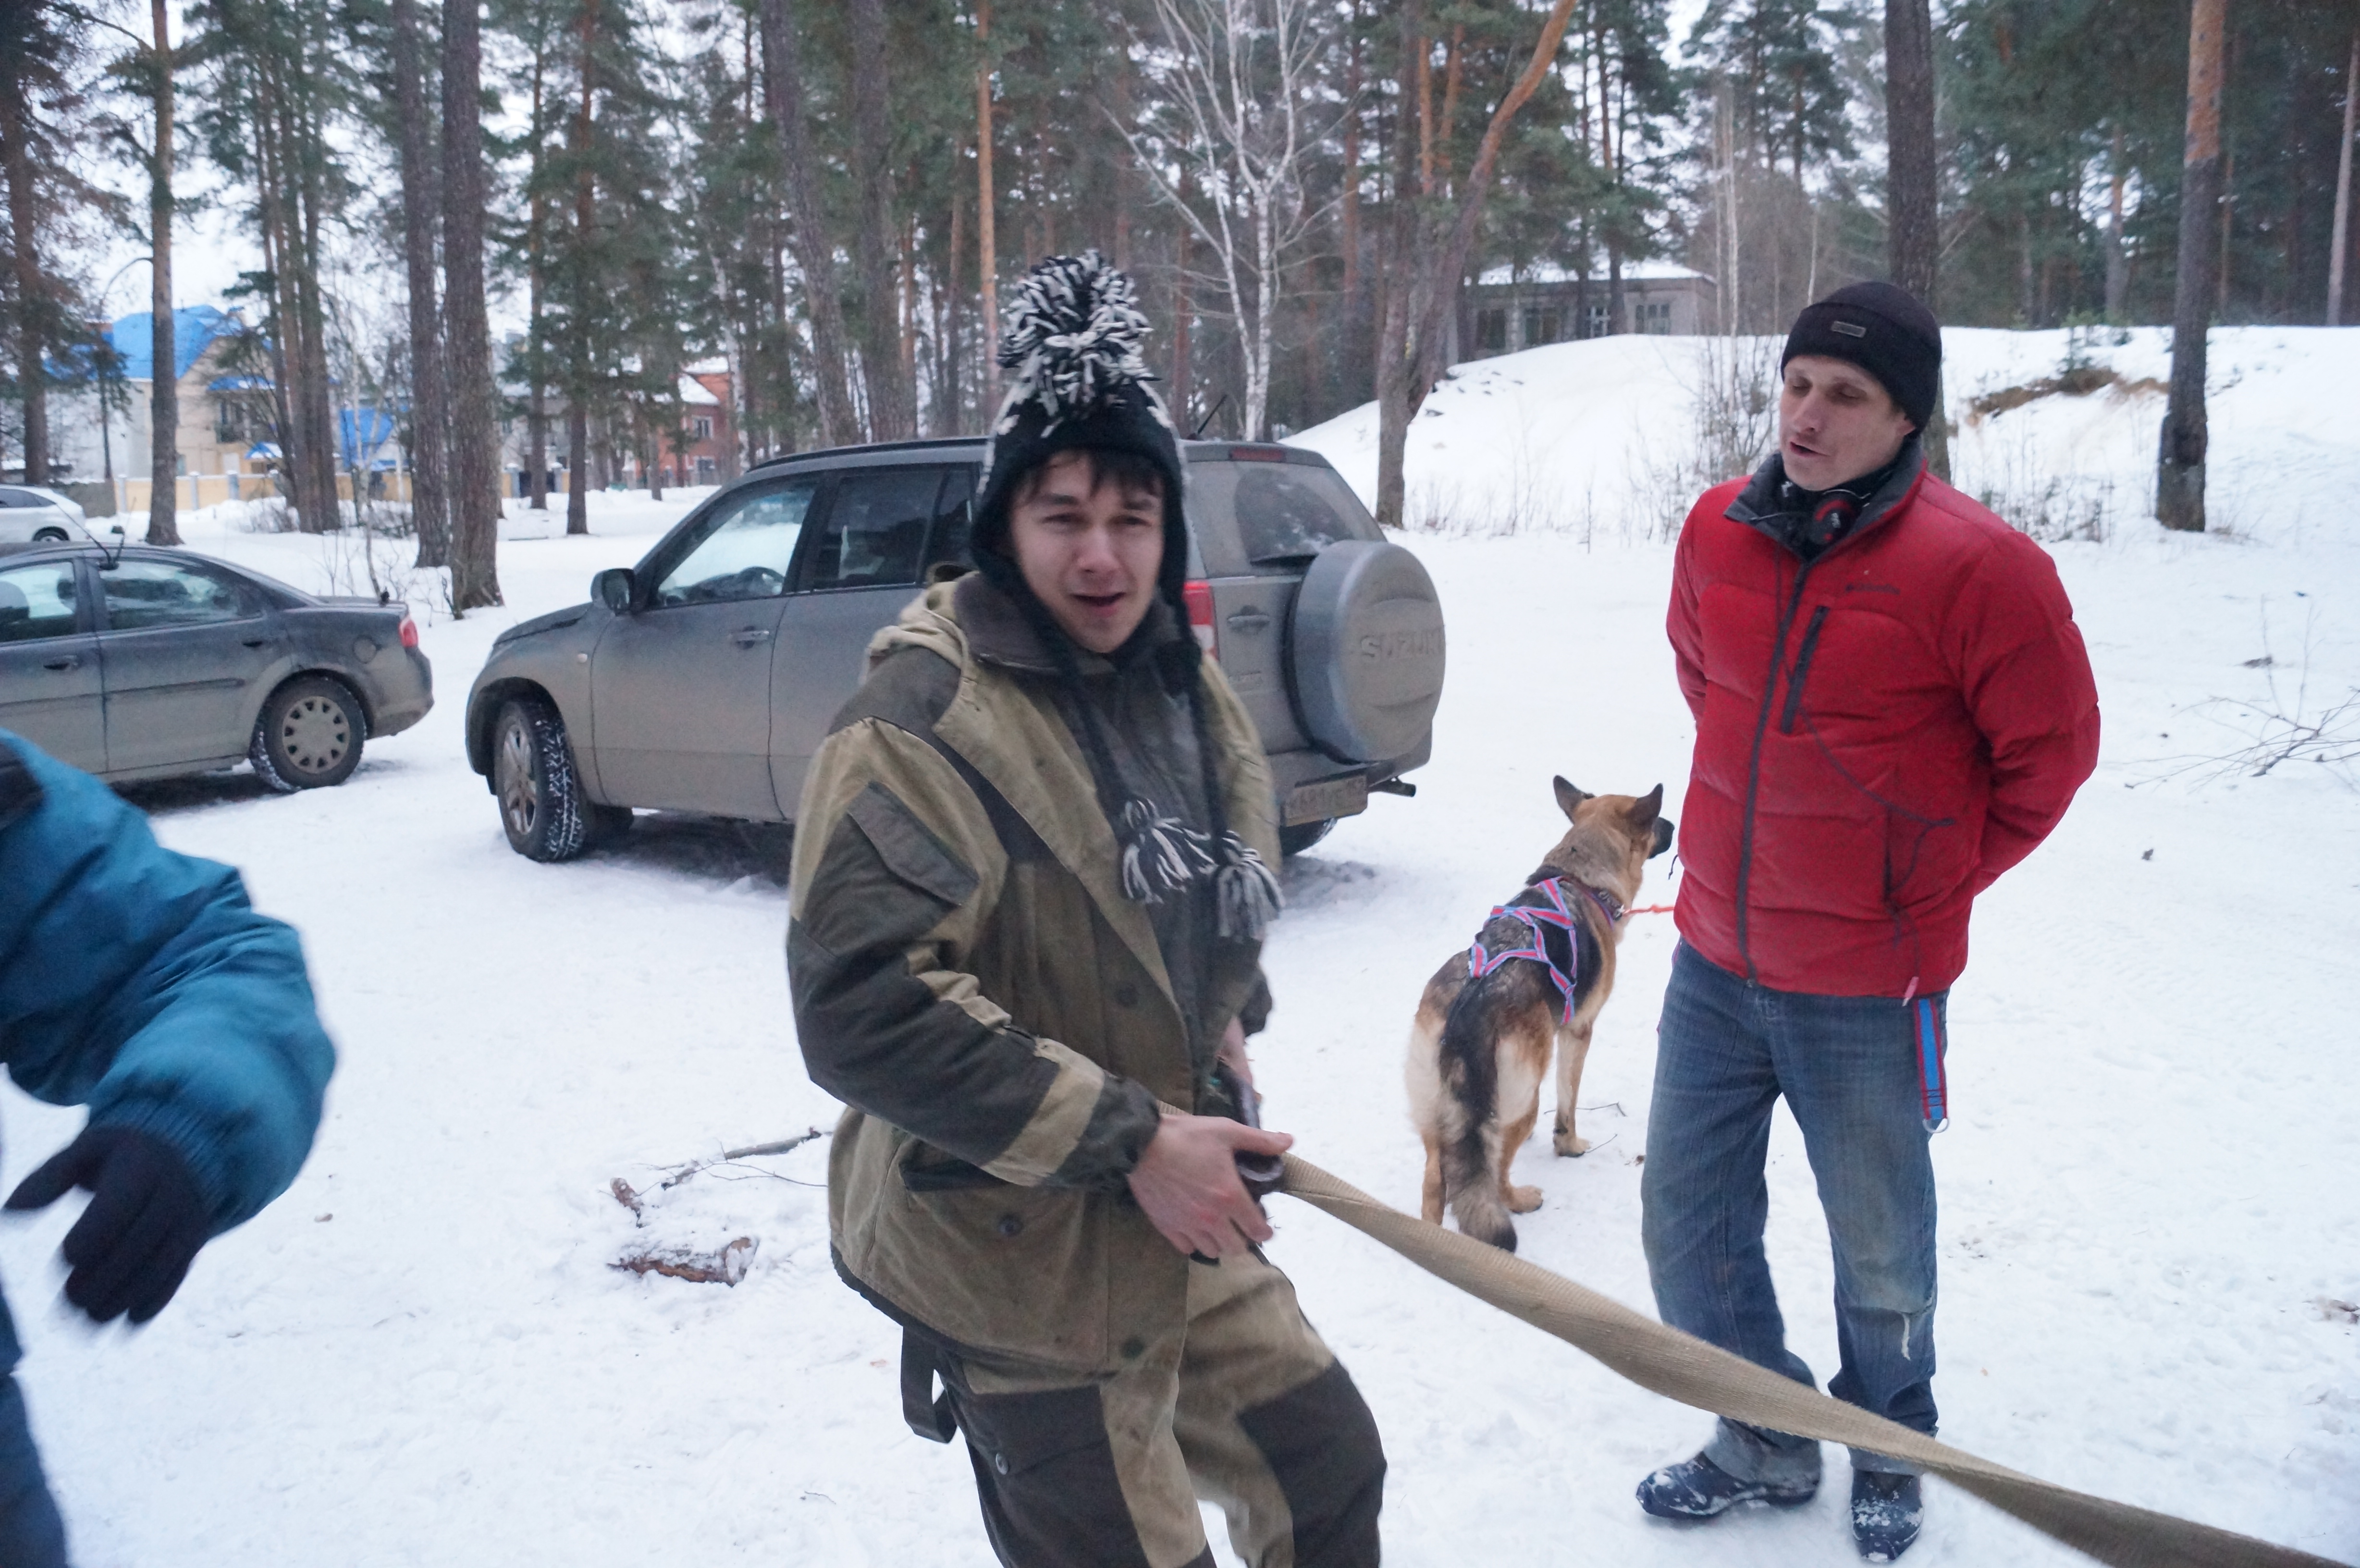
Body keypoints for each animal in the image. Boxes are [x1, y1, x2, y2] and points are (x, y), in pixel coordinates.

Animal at [1405, 777, 1673, 1251]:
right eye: (1656, 819)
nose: (1676, 826)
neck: (1580, 878)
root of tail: (1470, 1007)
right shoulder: (1579, 1032)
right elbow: (1568, 1101)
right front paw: (1569, 1145)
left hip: (1439, 1111)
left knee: (1437, 1179)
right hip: (1523, 1099)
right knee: (1494, 1173)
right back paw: (1520, 1200)